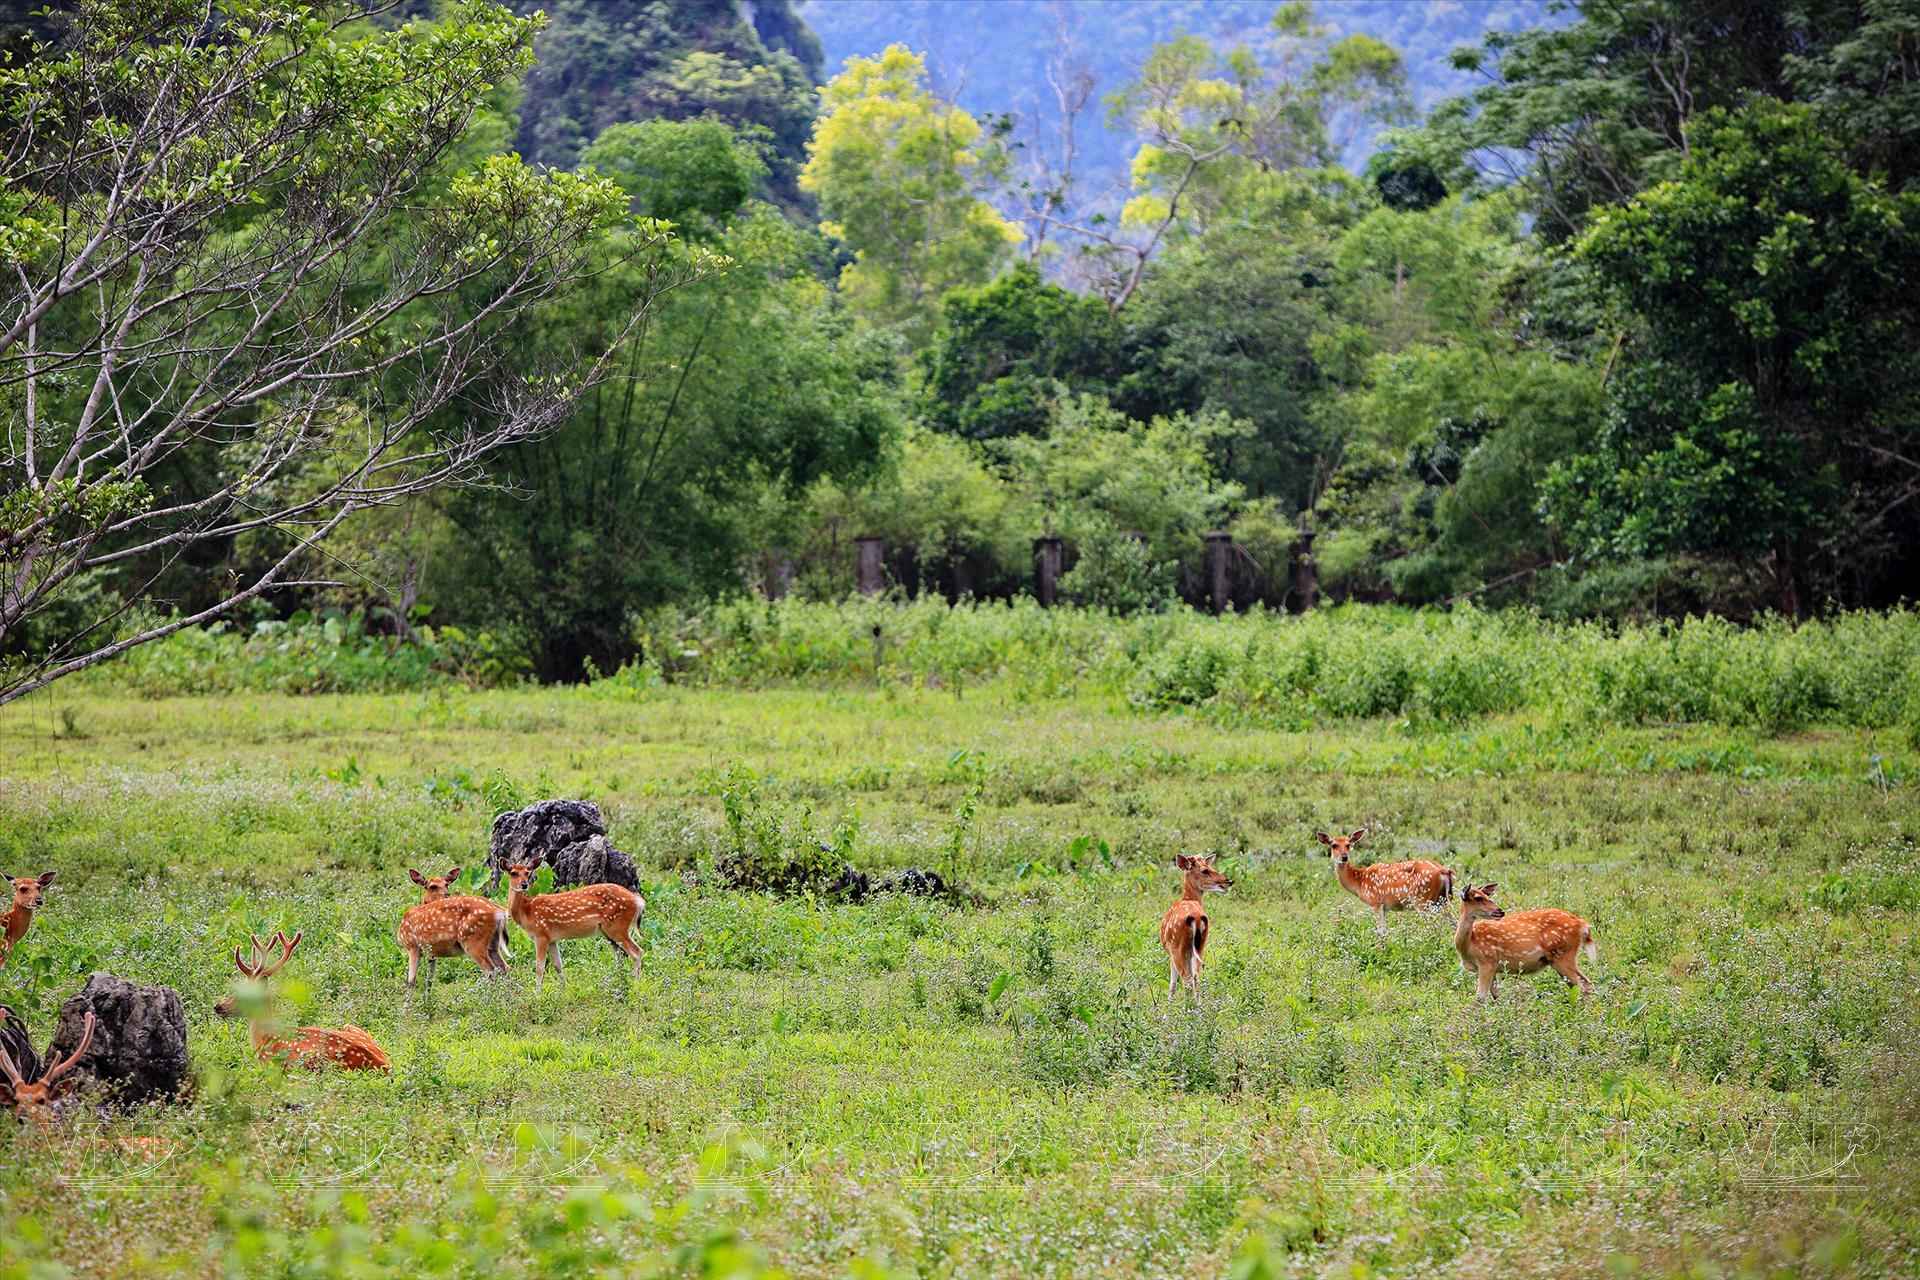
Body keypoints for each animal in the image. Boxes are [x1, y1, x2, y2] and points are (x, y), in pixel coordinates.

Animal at [216, 932, 391, 1074]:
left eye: (243, 994)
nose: (218, 1006)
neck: (264, 1038)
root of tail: (384, 1064)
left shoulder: (267, 1062)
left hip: (310, 1062)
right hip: (352, 1027)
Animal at [503, 867, 645, 997]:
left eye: (527, 873)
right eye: (513, 873)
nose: (524, 884)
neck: (527, 912)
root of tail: (638, 902)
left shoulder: (541, 935)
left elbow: (539, 967)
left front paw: (537, 995)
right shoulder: (552, 939)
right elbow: (558, 965)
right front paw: (564, 991)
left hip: (618, 927)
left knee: (637, 952)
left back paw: (635, 987)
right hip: (608, 932)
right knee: (620, 956)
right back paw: (615, 983)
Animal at [1152, 859, 1228, 997]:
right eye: (1205, 870)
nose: (1228, 881)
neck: (1187, 898)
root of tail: (1197, 918)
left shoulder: (1171, 952)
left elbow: (1172, 983)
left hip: (1178, 947)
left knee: (1186, 979)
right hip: (1200, 945)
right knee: (1196, 977)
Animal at [1320, 825, 1451, 936]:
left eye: (1348, 844)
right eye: (1334, 845)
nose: (1344, 857)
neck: (1360, 881)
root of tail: (1443, 871)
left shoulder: (1376, 902)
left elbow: (1380, 932)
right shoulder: (1385, 908)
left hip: (1423, 900)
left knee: (1432, 927)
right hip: (1442, 900)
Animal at [1443, 882, 1597, 997]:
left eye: (1486, 896)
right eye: (1478, 898)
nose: (1500, 911)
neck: (1469, 945)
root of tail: (1582, 925)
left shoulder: (1487, 961)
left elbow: (1480, 998)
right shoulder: (1492, 968)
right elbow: (1496, 996)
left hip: (1563, 954)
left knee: (1585, 985)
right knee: (1580, 985)